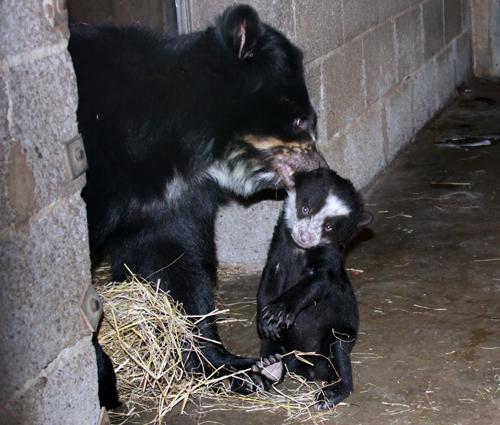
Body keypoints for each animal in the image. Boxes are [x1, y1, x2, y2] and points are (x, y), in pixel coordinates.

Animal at [70, 3, 326, 400]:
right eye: (300, 120)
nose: (320, 168)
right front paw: (102, 378)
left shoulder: (173, 198)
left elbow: (178, 262)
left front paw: (234, 368)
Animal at [258, 168, 372, 408]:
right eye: (305, 208)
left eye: (329, 226)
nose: (304, 237)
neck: (302, 251)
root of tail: (310, 370)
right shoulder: (277, 255)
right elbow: (268, 283)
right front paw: (267, 322)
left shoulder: (328, 261)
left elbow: (317, 283)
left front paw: (279, 310)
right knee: (273, 350)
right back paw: (268, 369)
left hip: (336, 336)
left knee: (338, 351)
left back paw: (332, 392)